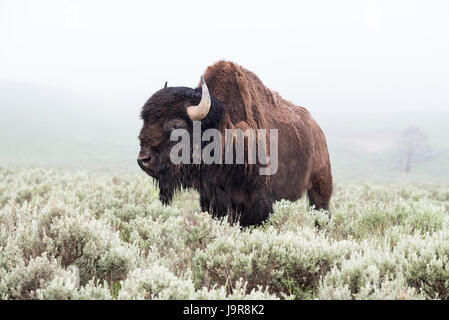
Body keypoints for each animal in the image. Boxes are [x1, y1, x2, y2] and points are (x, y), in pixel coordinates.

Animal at [138, 60, 330, 225]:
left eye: (176, 125)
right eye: (145, 120)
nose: (143, 160)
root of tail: (318, 131)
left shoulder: (257, 201)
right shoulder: (212, 198)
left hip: (320, 186)